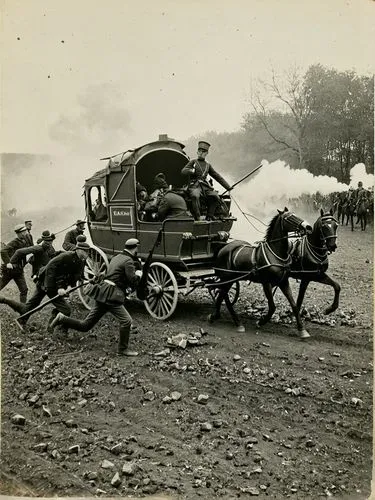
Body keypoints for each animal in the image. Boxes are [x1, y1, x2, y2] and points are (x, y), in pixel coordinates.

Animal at [210, 207, 312, 340]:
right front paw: (261, 322)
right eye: (289, 218)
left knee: (222, 294)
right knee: (223, 294)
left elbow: (294, 305)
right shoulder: (266, 283)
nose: (309, 227)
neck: (275, 253)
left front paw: (302, 330)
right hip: (227, 278)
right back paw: (232, 320)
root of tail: (223, 248)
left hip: (230, 279)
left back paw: (221, 316)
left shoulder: (283, 282)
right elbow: (272, 306)